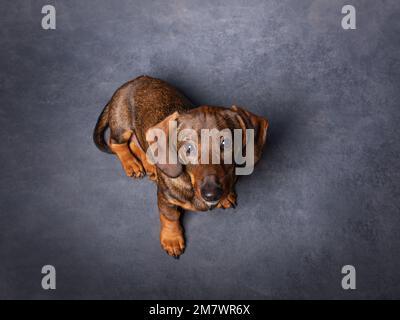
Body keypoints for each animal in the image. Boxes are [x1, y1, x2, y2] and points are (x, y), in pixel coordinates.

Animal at [94, 76, 268, 258]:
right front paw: (172, 239)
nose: (211, 194)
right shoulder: (165, 198)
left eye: (225, 143)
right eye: (188, 148)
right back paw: (131, 164)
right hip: (122, 126)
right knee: (116, 143)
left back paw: (150, 166)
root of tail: (130, 82)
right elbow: (170, 218)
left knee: (137, 142)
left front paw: (226, 197)